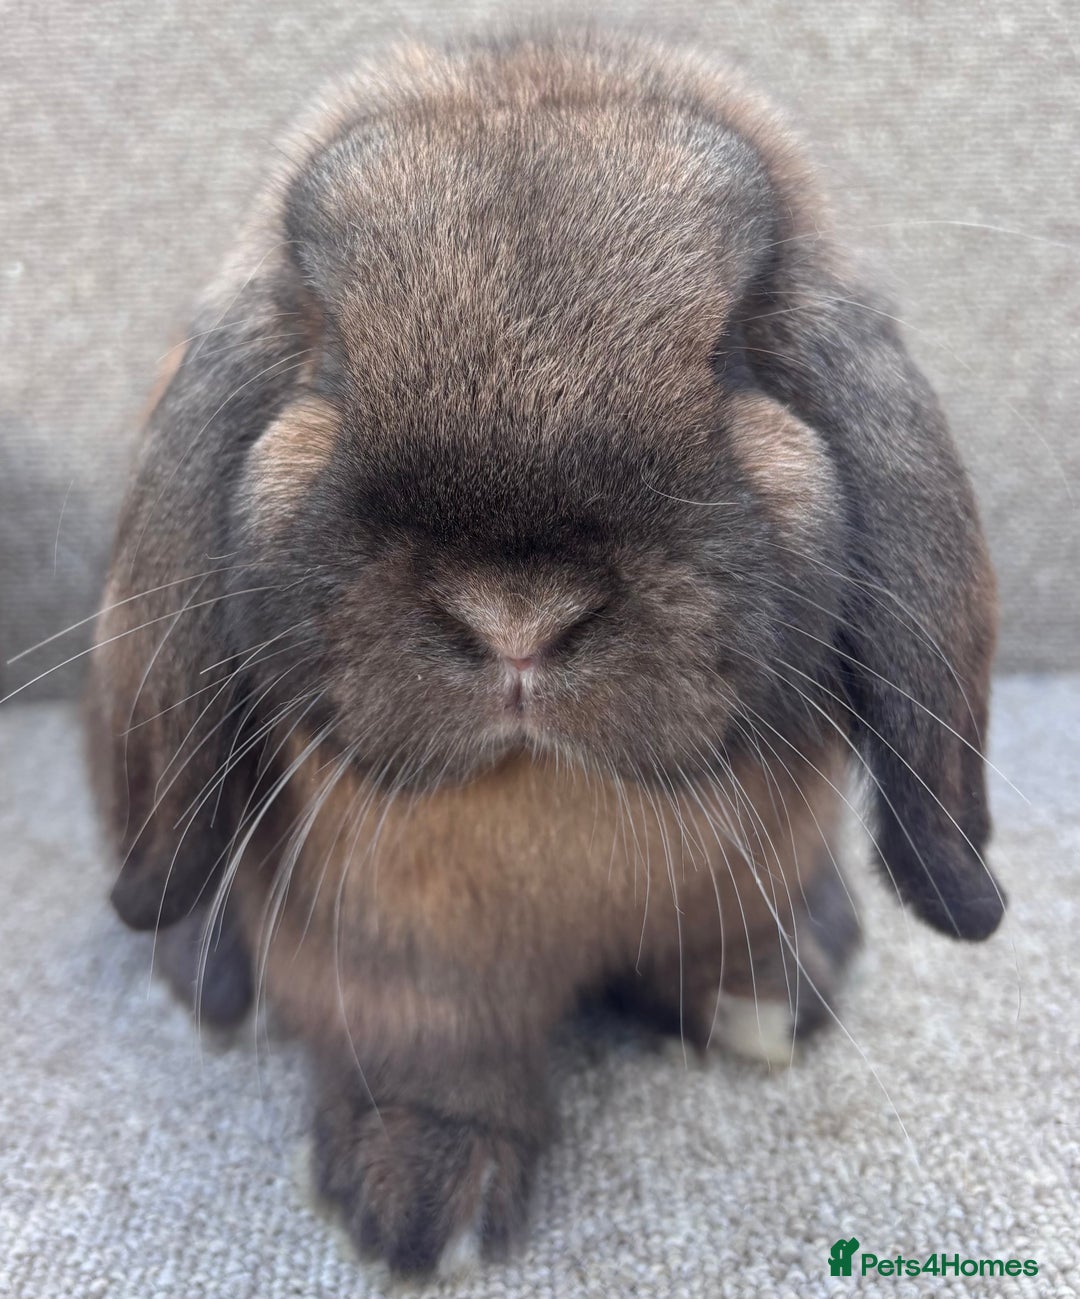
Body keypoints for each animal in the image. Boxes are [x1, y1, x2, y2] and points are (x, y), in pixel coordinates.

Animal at [84, 29, 1004, 1276]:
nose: (517, 619)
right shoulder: (393, 968)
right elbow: (432, 1054)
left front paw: (761, 1009)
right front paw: (426, 1201)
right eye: (328, 362)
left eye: (734, 353)